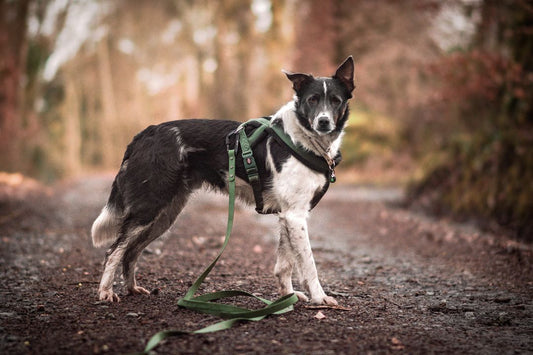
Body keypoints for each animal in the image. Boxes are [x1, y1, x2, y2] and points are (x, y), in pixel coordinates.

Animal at [92, 55, 354, 306]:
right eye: (312, 100)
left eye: (335, 100)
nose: (323, 122)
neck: (304, 140)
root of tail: (145, 134)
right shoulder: (295, 215)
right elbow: (308, 263)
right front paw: (319, 297)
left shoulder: (290, 214)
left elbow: (285, 264)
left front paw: (287, 296)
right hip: (149, 207)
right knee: (114, 251)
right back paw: (105, 291)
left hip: (164, 215)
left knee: (131, 252)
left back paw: (132, 288)